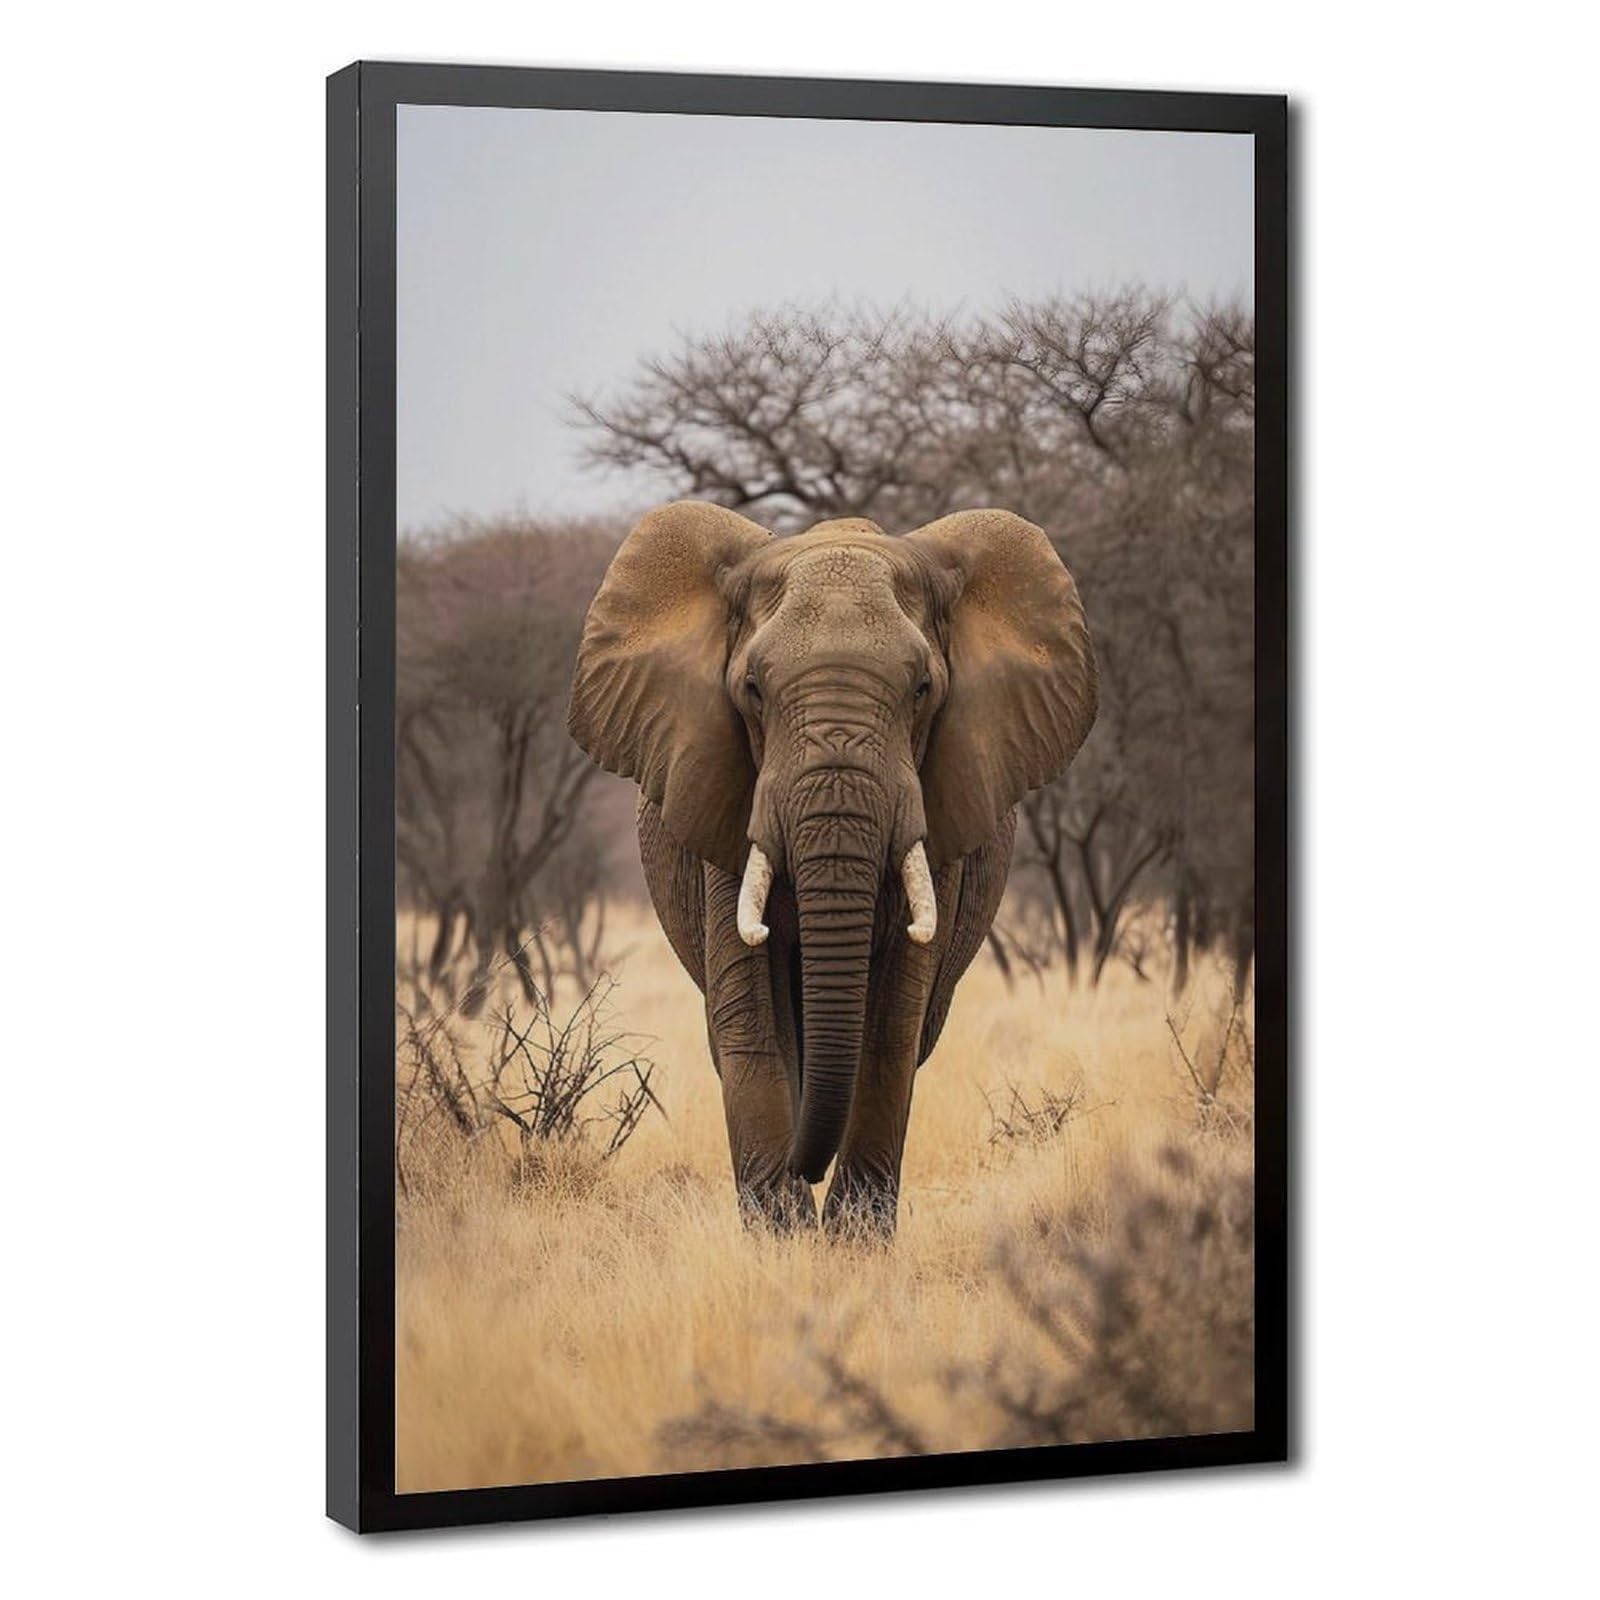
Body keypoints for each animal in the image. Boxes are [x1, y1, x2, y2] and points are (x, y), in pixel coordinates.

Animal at [567, 501, 1098, 1234]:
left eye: (923, 689)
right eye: (753, 690)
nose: (804, 1168)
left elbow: (893, 1023)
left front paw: (853, 1239)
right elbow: (752, 1015)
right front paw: (783, 1238)